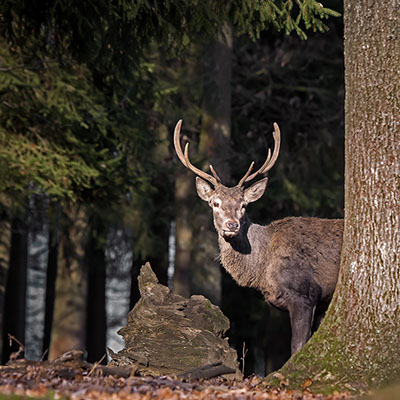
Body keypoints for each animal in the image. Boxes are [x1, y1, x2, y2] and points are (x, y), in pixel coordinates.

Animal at [173, 119, 344, 354]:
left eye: (244, 205)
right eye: (215, 203)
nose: (232, 224)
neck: (262, 269)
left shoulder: (306, 293)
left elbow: (297, 347)